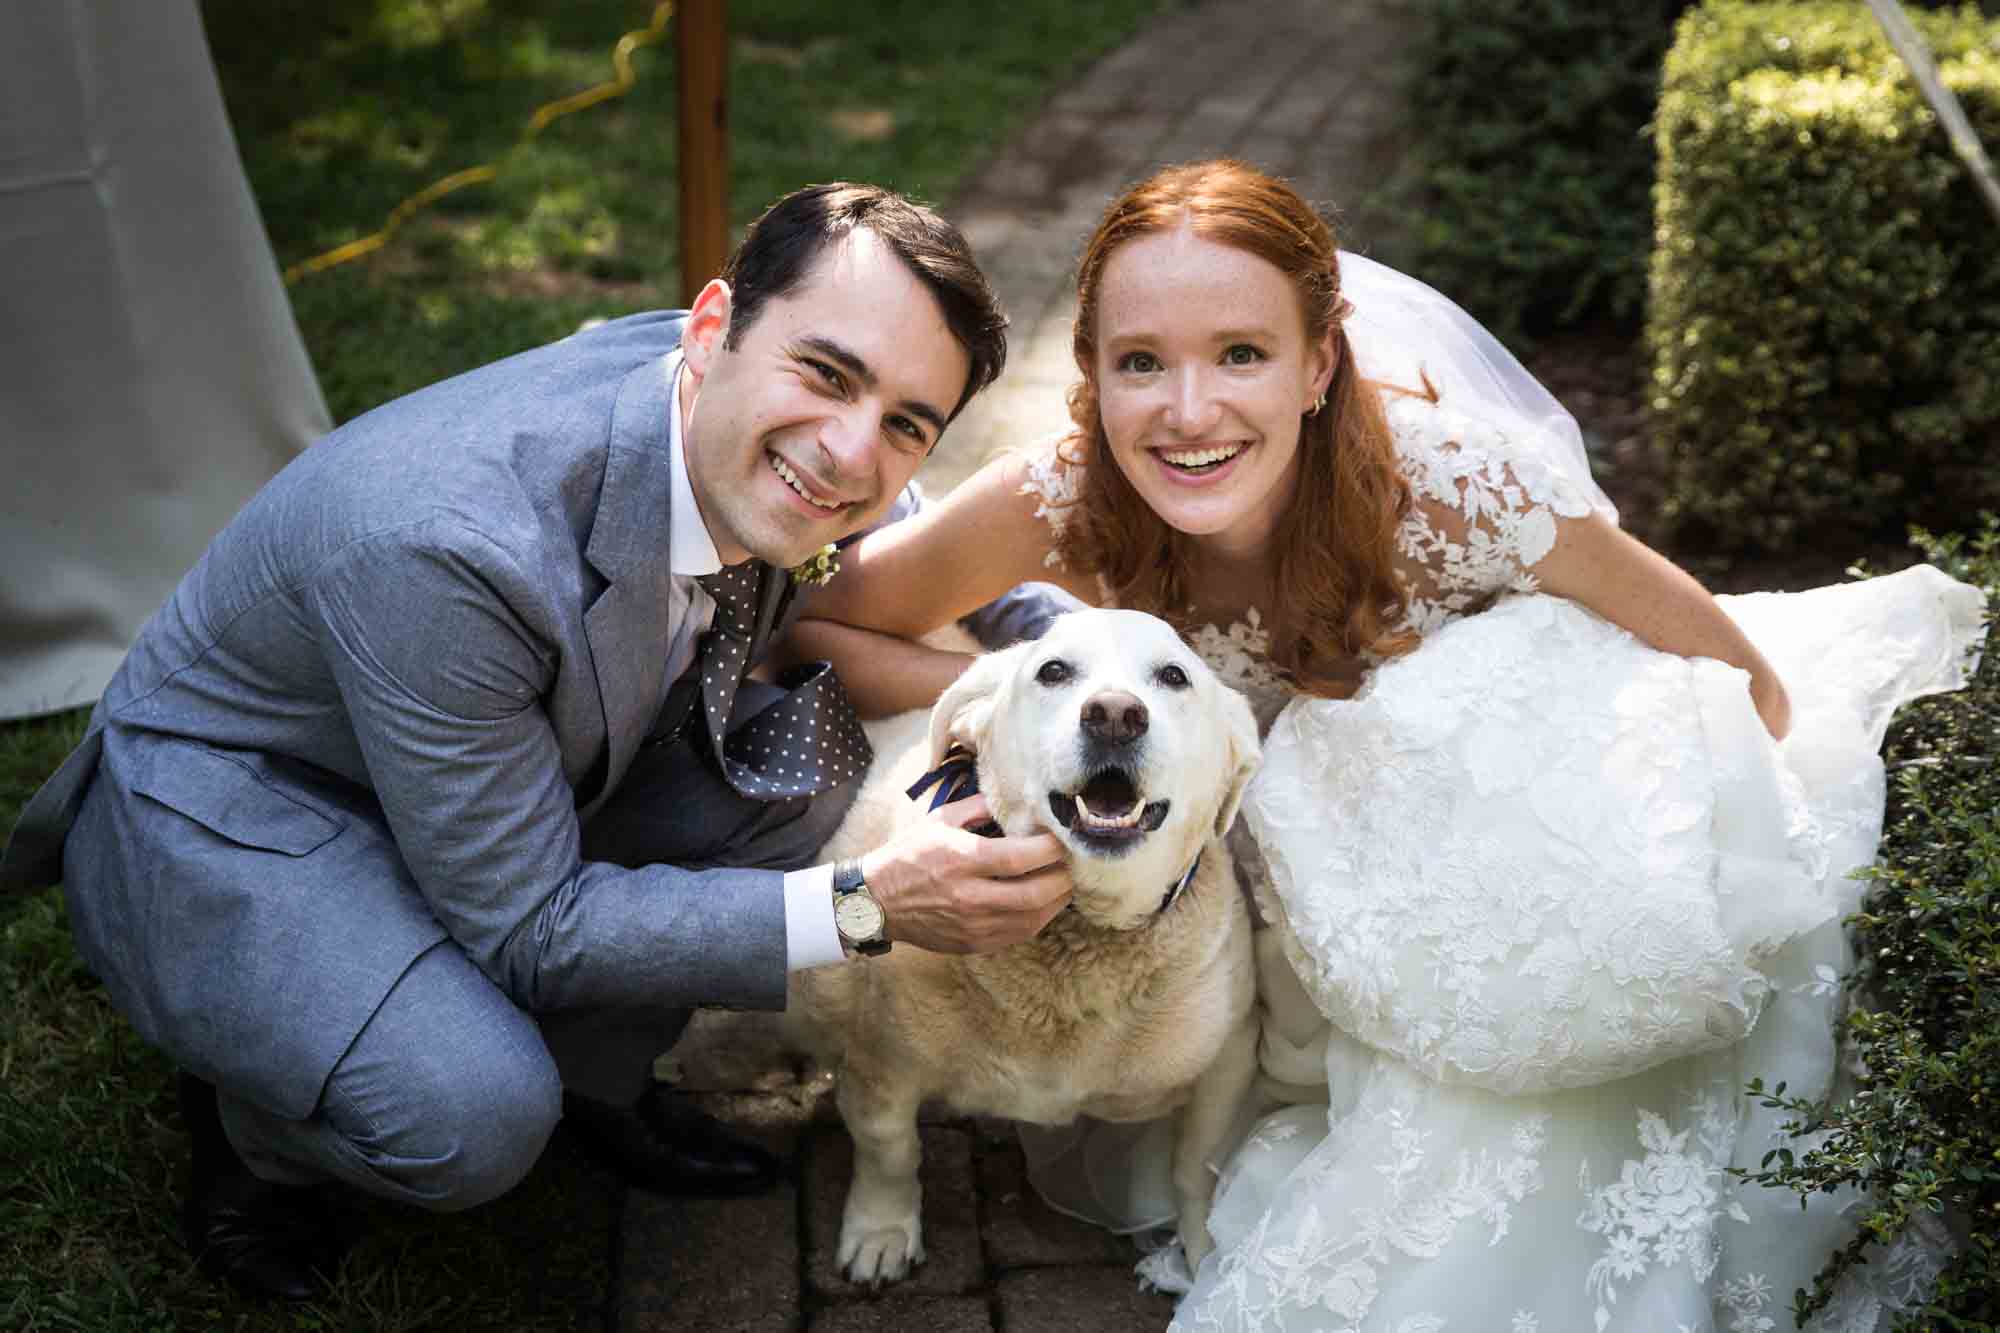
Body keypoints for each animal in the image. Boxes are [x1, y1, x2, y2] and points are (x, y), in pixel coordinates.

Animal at [788, 608, 1256, 1280]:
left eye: (1174, 677)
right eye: (1053, 671)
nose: (1115, 715)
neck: (1080, 934)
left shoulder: (1230, 1059)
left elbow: (1196, 1168)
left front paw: (1203, 1258)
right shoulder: (880, 1062)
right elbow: (889, 1151)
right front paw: (881, 1230)